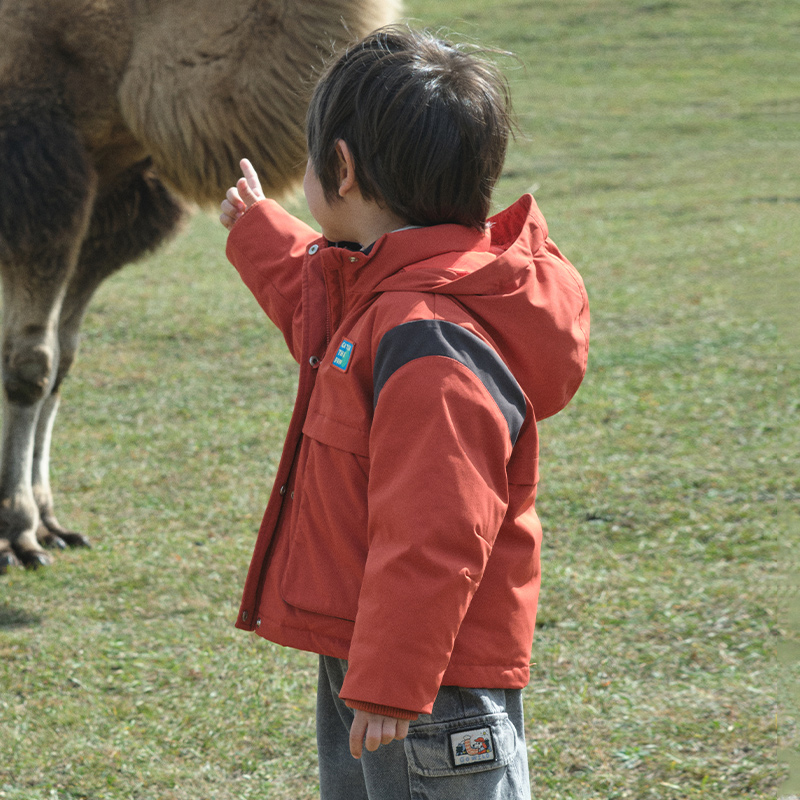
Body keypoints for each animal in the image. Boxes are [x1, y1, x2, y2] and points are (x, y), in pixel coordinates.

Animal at [0, 1, 400, 576]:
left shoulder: (111, 193)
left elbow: (62, 361)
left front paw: (50, 523)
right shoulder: (37, 168)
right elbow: (31, 365)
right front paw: (18, 531)